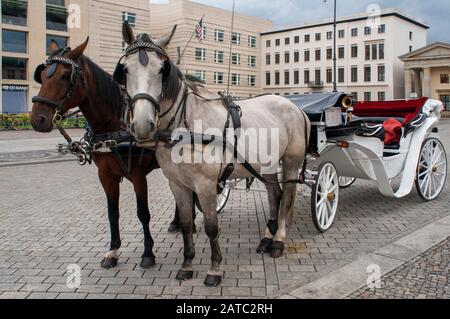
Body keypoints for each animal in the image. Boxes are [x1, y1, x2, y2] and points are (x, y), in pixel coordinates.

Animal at [29, 38, 192, 272]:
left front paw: (148, 253)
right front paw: (113, 251)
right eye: (42, 75)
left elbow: (143, 213)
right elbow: (112, 213)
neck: (113, 127)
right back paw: (177, 223)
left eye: (65, 75)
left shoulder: (137, 176)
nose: (37, 119)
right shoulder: (106, 176)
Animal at [117, 22, 310, 288]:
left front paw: (214, 268)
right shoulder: (177, 184)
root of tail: (297, 107)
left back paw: (279, 240)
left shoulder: (206, 184)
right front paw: (187, 265)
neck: (184, 124)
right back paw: (266, 239)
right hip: (267, 165)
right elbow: (186, 225)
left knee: (287, 197)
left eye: (162, 69)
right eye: (125, 69)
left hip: (290, 163)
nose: (143, 125)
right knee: (275, 195)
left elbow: (210, 227)